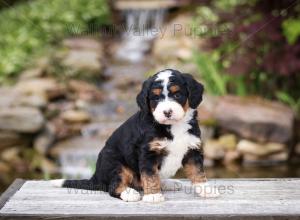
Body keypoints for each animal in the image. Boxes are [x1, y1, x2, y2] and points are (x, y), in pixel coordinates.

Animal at [51, 69, 219, 203]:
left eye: (177, 94)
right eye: (155, 98)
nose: (167, 112)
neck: (173, 126)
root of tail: (96, 176)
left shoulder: (192, 149)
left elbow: (198, 172)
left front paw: (206, 189)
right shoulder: (147, 152)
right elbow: (150, 175)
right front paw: (153, 195)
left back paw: (167, 183)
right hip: (115, 164)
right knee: (113, 186)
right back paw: (129, 193)